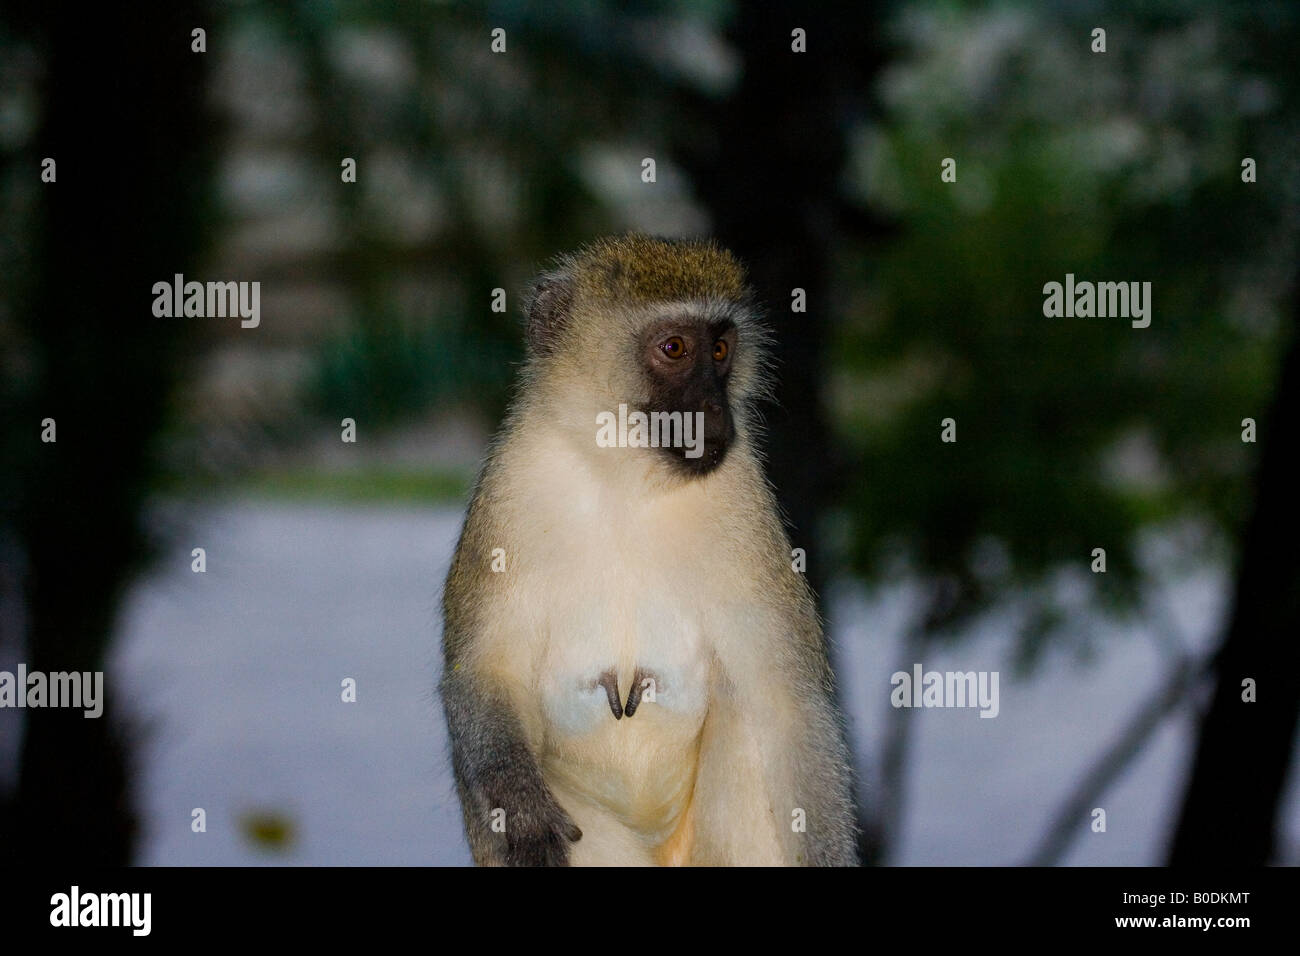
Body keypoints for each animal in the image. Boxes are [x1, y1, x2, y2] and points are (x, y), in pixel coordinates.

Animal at [441, 234, 857, 868]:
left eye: (721, 349)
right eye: (675, 348)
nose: (714, 410)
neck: (625, 475)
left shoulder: (742, 496)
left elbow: (786, 704)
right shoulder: (510, 488)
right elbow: (479, 673)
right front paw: (521, 807)